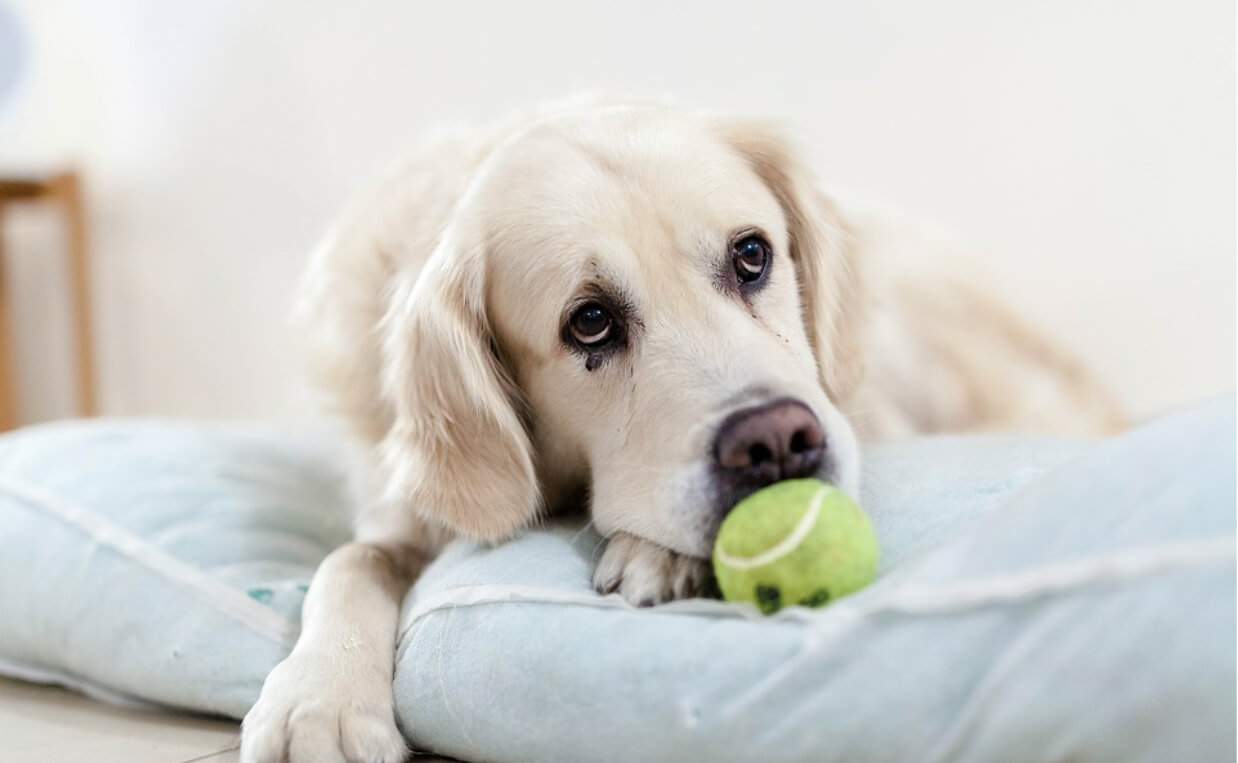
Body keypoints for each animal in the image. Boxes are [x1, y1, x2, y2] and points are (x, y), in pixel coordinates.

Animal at [233, 98, 1124, 758]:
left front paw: (658, 550)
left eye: (753, 254)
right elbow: (350, 562)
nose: (777, 441)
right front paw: (318, 700)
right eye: (590, 321)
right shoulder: (403, 510)